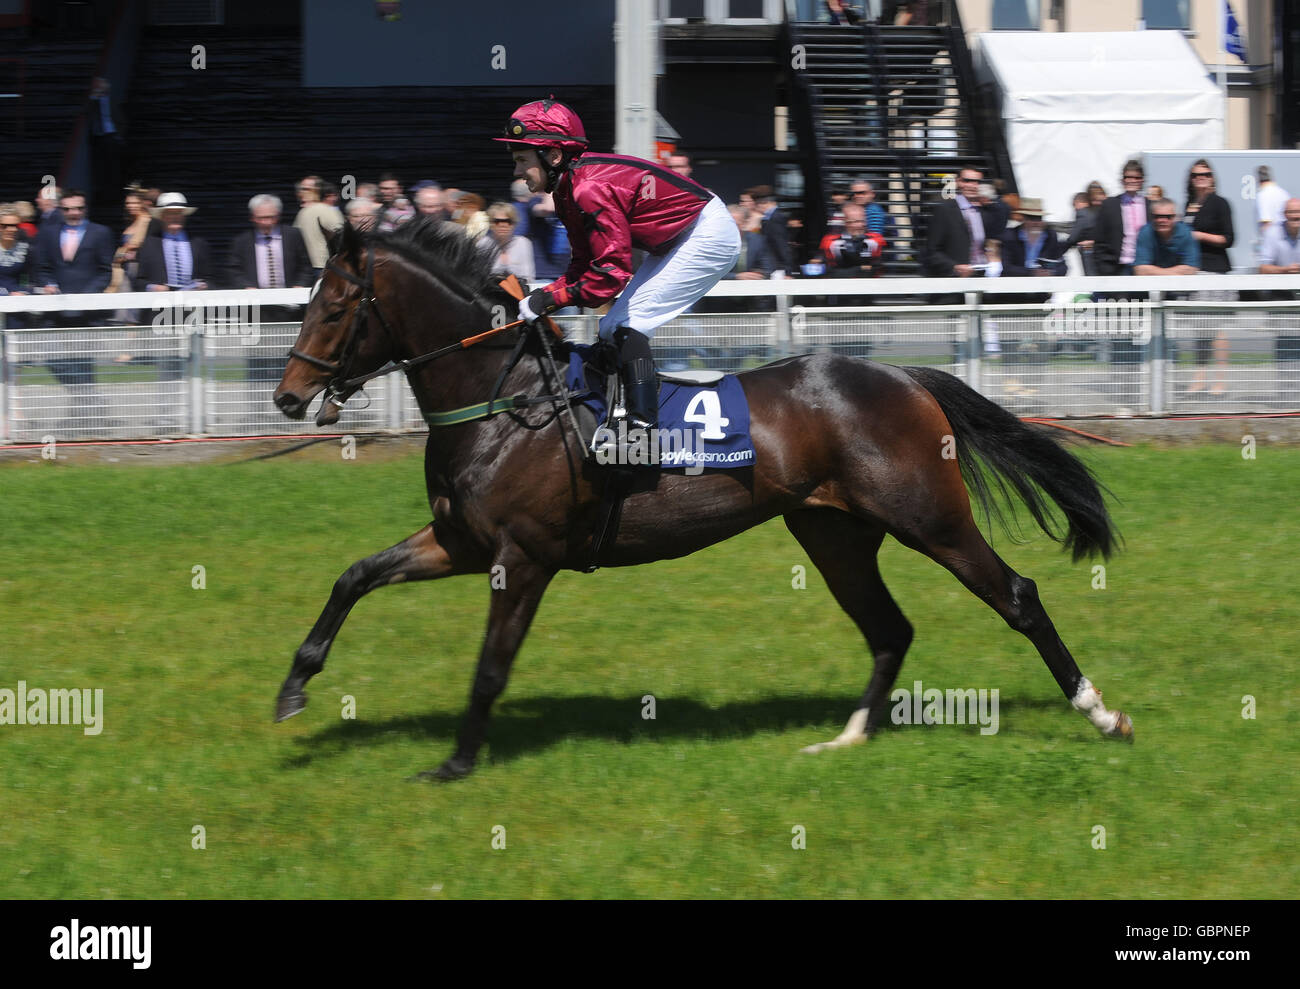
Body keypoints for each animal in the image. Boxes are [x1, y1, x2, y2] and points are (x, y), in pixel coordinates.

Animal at [271, 218, 1128, 779]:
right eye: (309, 300)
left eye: (337, 307)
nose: (287, 395)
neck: (502, 398)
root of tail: (905, 377)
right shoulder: (460, 541)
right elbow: (354, 575)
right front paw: (293, 686)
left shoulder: (523, 556)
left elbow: (490, 664)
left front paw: (454, 762)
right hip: (834, 532)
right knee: (890, 628)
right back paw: (845, 739)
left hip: (930, 516)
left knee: (1016, 594)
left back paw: (1101, 711)